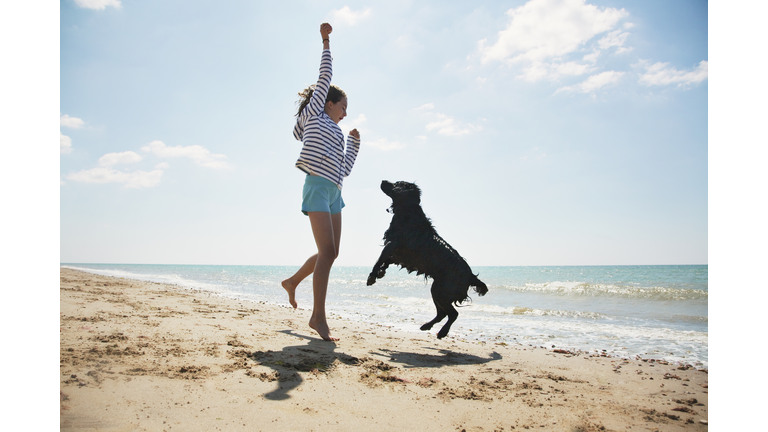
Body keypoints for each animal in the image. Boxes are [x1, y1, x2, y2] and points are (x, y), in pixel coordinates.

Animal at [368, 181, 488, 340]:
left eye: (397, 183)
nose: (383, 181)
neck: (408, 211)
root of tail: (470, 275)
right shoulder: (398, 253)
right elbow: (386, 261)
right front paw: (381, 272)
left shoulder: (392, 244)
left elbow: (379, 259)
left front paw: (372, 276)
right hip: (437, 289)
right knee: (442, 313)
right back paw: (427, 326)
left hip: (441, 291)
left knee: (453, 314)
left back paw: (442, 332)